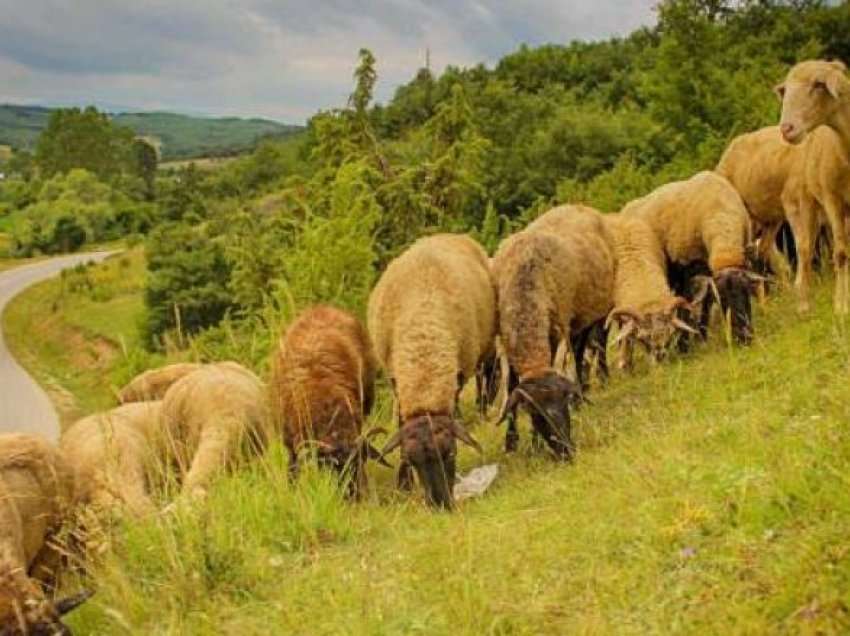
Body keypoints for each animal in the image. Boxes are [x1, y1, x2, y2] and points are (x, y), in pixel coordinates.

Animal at [272, 306, 384, 500]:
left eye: (359, 462)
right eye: (331, 466)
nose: (352, 496)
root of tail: (321, 307)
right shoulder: (290, 439)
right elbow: (293, 465)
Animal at [368, 236, 494, 510]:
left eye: (451, 453)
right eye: (412, 461)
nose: (440, 504)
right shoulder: (397, 381)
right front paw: (403, 483)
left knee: (485, 377)